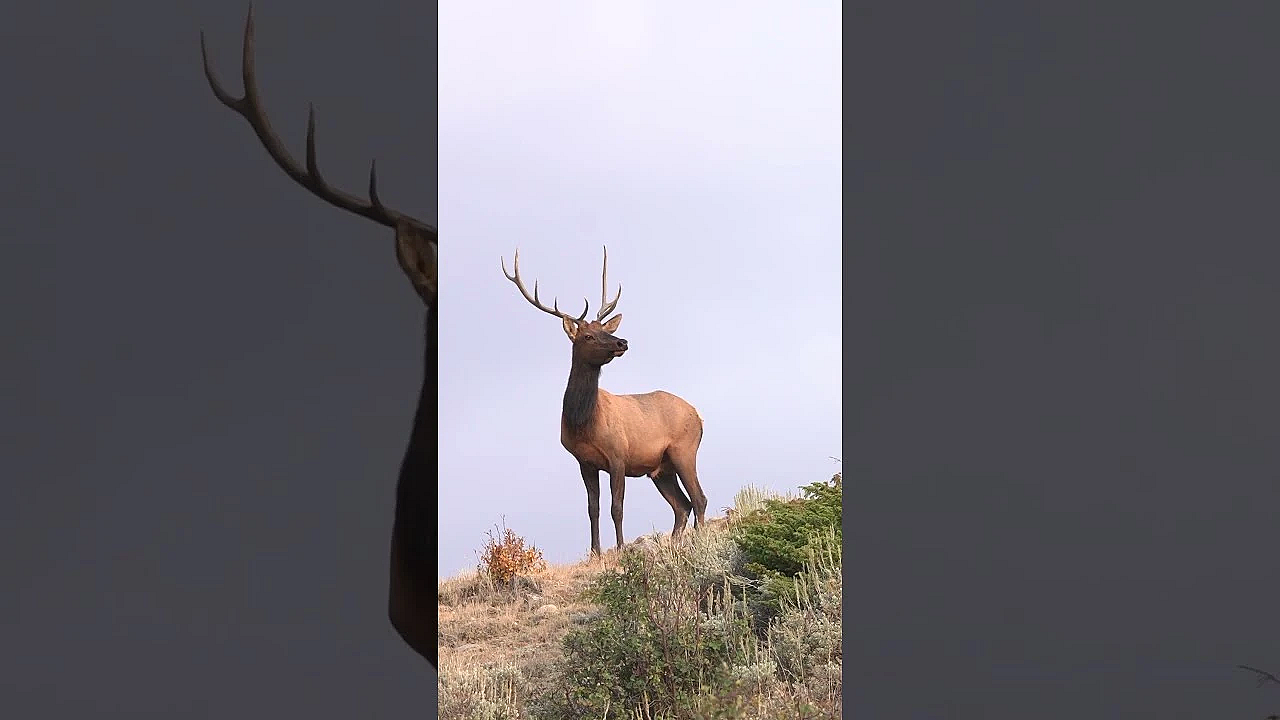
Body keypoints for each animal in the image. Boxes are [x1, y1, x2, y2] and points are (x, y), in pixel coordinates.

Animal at [501, 248, 709, 556]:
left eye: (605, 330)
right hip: (661, 469)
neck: (583, 422)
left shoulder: (618, 455)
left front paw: (620, 547)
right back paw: (675, 544)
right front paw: (595, 551)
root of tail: (699, 415)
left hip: (684, 450)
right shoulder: (584, 462)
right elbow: (593, 508)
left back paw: (699, 541)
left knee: (699, 498)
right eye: (588, 335)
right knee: (682, 506)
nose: (622, 342)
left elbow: (616, 507)